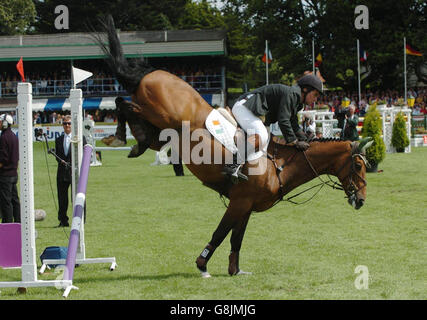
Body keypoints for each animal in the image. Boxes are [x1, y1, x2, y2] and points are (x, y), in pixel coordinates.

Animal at [93, 16, 372, 278]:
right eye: (358, 165)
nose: (361, 200)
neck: (280, 165)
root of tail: (152, 73)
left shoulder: (246, 206)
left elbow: (236, 238)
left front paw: (235, 270)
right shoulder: (239, 201)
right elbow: (220, 233)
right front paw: (203, 265)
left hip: (161, 132)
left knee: (137, 121)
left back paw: (134, 143)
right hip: (159, 113)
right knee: (122, 103)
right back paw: (118, 138)